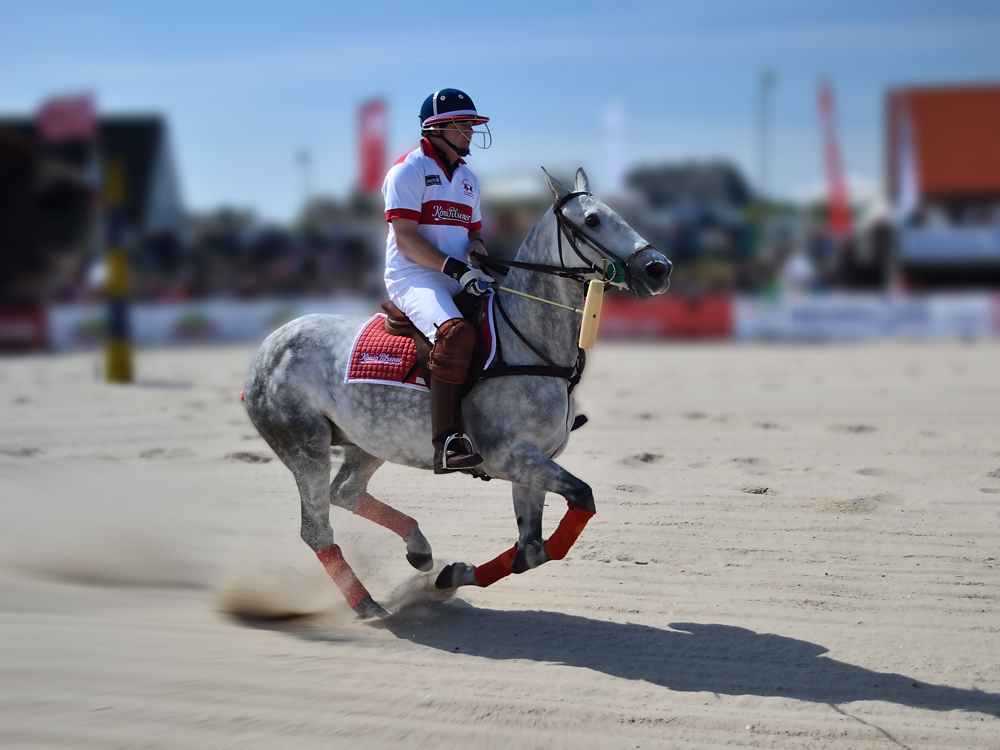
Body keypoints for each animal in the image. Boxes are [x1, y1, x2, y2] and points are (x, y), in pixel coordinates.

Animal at [242, 167, 672, 620]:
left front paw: (450, 576)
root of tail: (268, 345)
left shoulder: (533, 460)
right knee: (316, 527)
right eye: (592, 219)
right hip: (304, 444)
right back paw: (368, 605)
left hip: (368, 441)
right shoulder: (508, 456)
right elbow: (581, 499)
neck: (530, 341)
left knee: (344, 492)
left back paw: (419, 550)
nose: (658, 269)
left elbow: (531, 551)